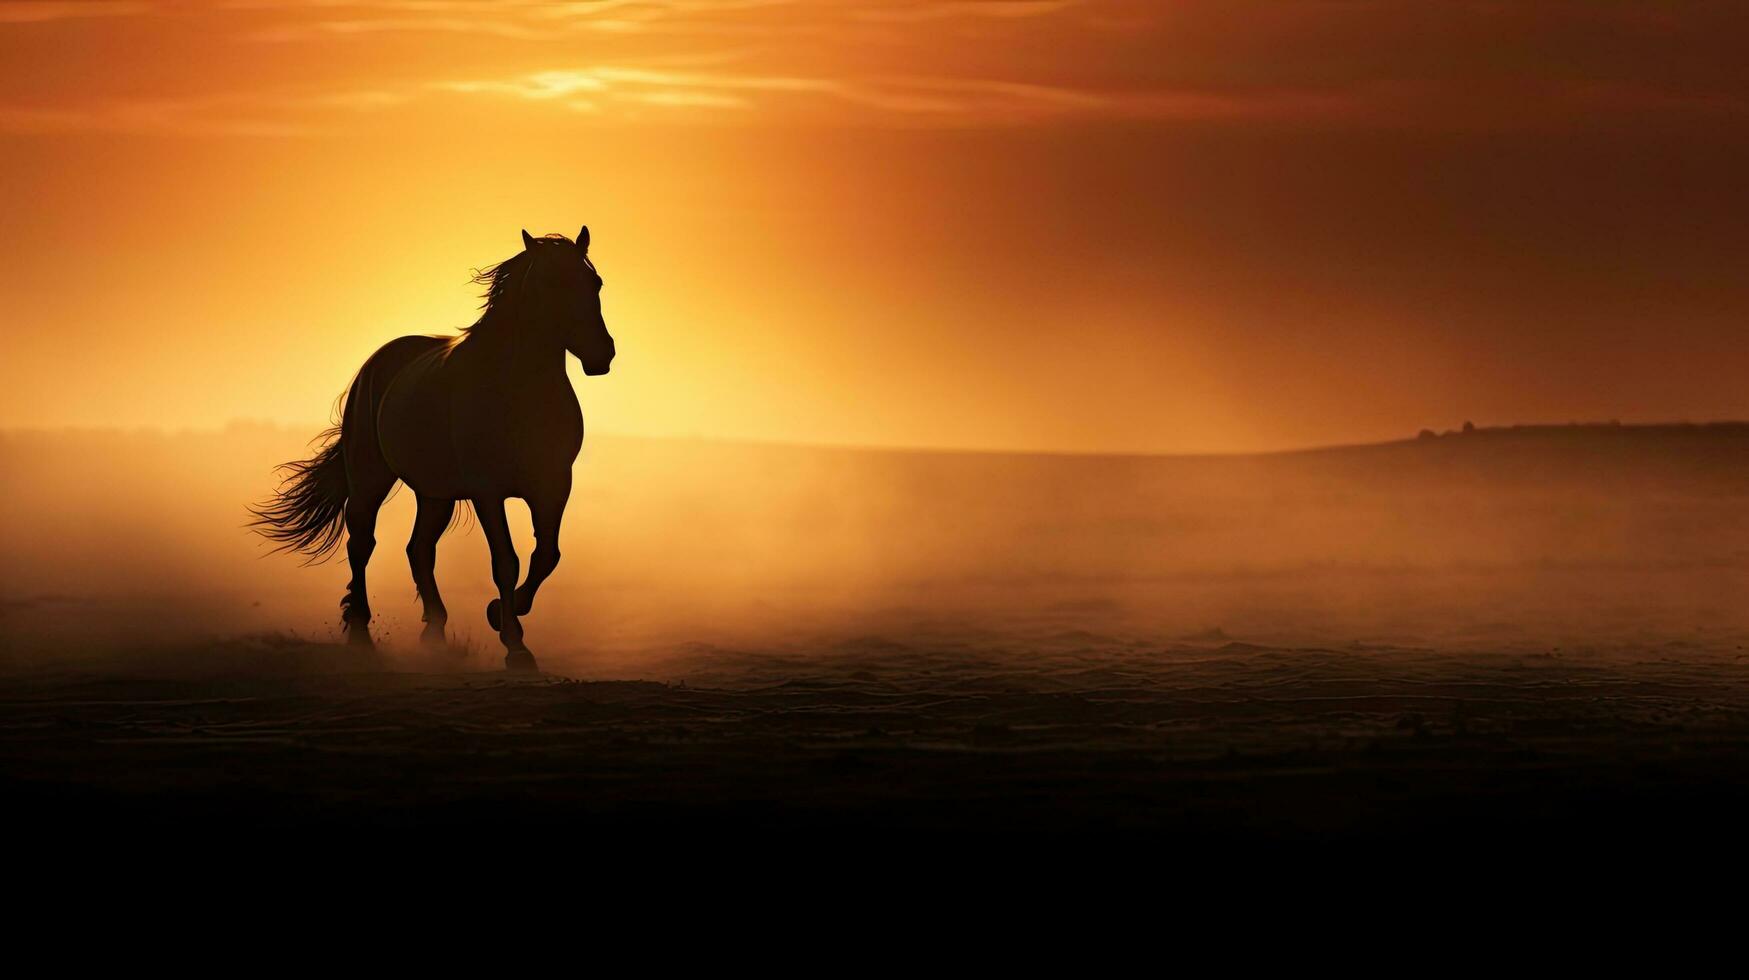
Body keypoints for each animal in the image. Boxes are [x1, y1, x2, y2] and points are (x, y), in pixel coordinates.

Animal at [250, 227, 619, 672]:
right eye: (550, 283)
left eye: (595, 282)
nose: (602, 353)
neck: (517, 391)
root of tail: (374, 366)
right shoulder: (487, 491)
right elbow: (506, 561)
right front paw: (515, 644)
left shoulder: (552, 485)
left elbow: (547, 555)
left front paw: (499, 614)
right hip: (371, 479)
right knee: (362, 544)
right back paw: (361, 634)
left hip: (435, 494)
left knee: (419, 549)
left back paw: (435, 633)